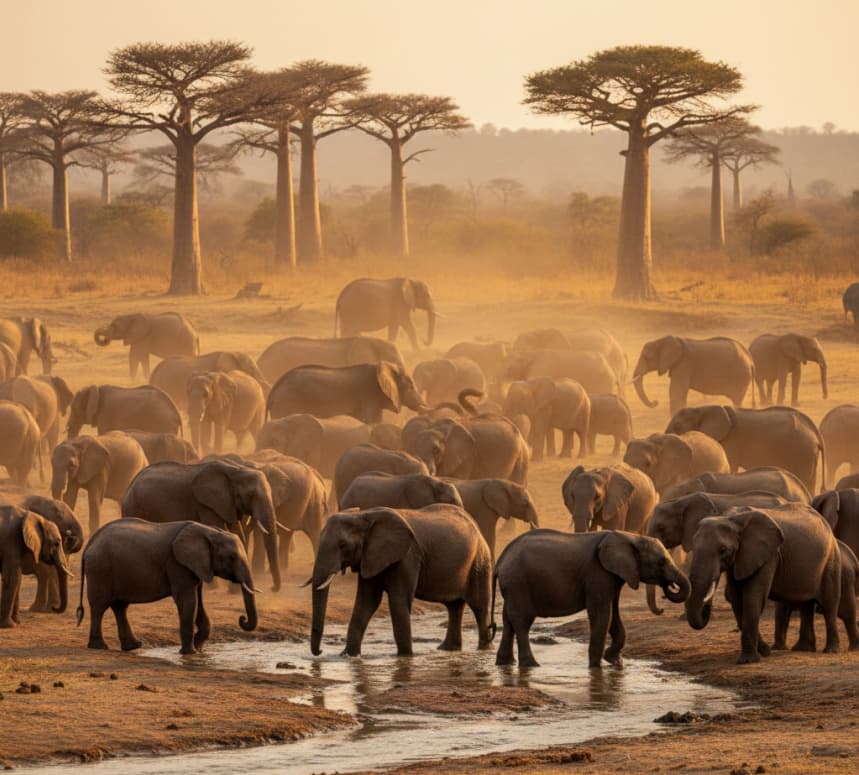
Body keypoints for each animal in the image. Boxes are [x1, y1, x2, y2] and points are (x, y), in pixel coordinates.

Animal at [78, 519, 257, 654]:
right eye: (232, 557)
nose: (242, 618)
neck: (209, 531)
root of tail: (89, 544)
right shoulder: (177, 564)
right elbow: (188, 601)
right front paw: (190, 653)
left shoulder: (196, 566)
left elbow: (198, 602)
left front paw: (198, 648)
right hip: (101, 569)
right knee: (99, 607)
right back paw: (100, 647)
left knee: (120, 607)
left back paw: (133, 646)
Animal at [120, 459, 280, 592]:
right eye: (251, 495)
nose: (273, 588)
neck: (235, 470)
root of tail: (130, 485)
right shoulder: (206, 504)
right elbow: (218, 527)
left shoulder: (227, 504)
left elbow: (237, 532)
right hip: (134, 506)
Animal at [307, 505, 493, 656]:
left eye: (342, 545)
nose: (320, 651)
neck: (363, 515)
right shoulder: (370, 557)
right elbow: (366, 602)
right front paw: (349, 656)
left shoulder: (407, 557)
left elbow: (397, 601)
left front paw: (405, 657)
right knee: (454, 607)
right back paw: (447, 649)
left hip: (480, 562)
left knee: (479, 606)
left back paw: (483, 650)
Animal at [494, 529, 689, 668]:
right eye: (661, 562)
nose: (668, 588)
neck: (630, 536)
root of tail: (501, 559)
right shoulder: (598, 573)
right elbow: (602, 615)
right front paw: (596, 667)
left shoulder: (613, 576)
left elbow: (613, 615)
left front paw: (615, 662)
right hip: (518, 582)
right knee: (522, 622)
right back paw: (531, 665)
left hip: (512, 586)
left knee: (508, 620)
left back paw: (505, 664)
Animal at [685, 505, 842, 663]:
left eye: (722, 550)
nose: (706, 607)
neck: (732, 519)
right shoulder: (741, 558)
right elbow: (737, 600)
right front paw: (765, 651)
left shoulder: (769, 556)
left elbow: (752, 599)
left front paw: (748, 661)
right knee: (805, 605)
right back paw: (803, 649)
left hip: (831, 561)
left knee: (829, 605)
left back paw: (831, 650)